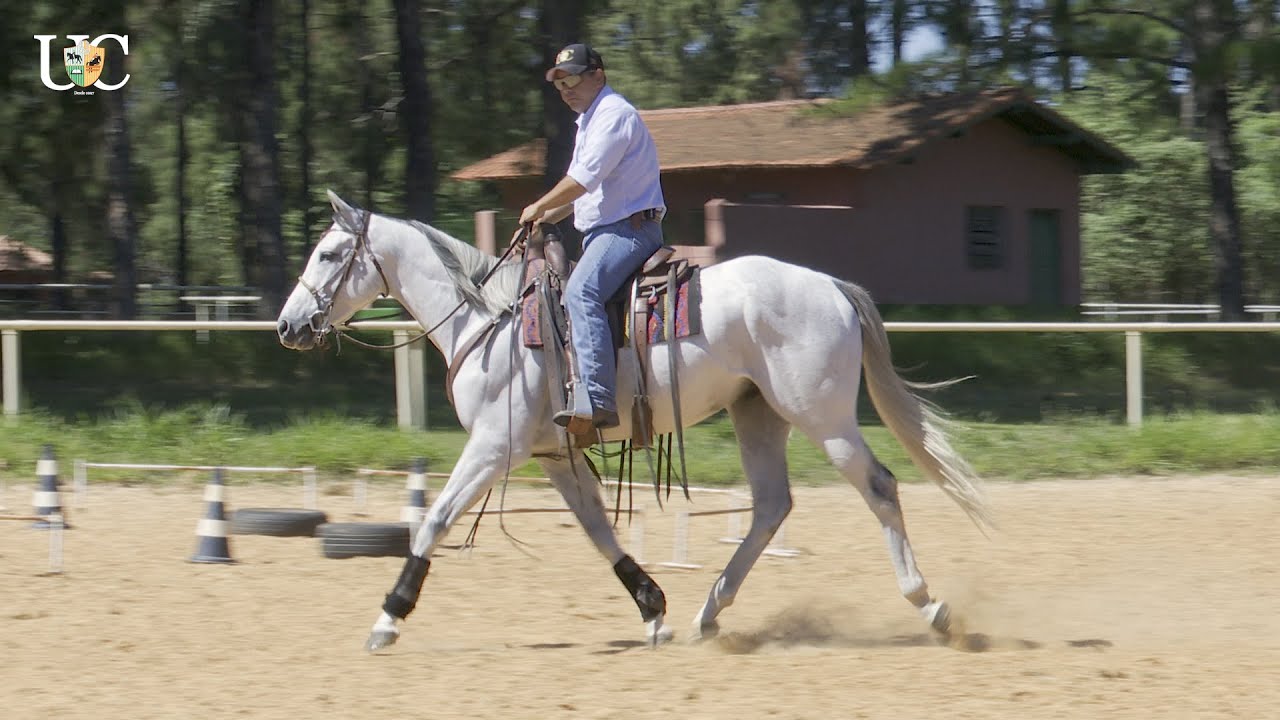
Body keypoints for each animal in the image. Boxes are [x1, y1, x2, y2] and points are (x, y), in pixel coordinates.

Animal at [277, 191, 993, 651]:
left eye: (328, 254)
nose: (288, 326)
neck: (491, 321)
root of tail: (831, 287)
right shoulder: (556, 454)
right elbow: (599, 531)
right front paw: (654, 612)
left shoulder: (493, 447)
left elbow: (434, 519)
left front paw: (388, 618)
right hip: (757, 413)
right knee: (770, 506)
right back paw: (709, 612)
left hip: (822, 416)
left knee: (878, 487)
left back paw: (929, 606)